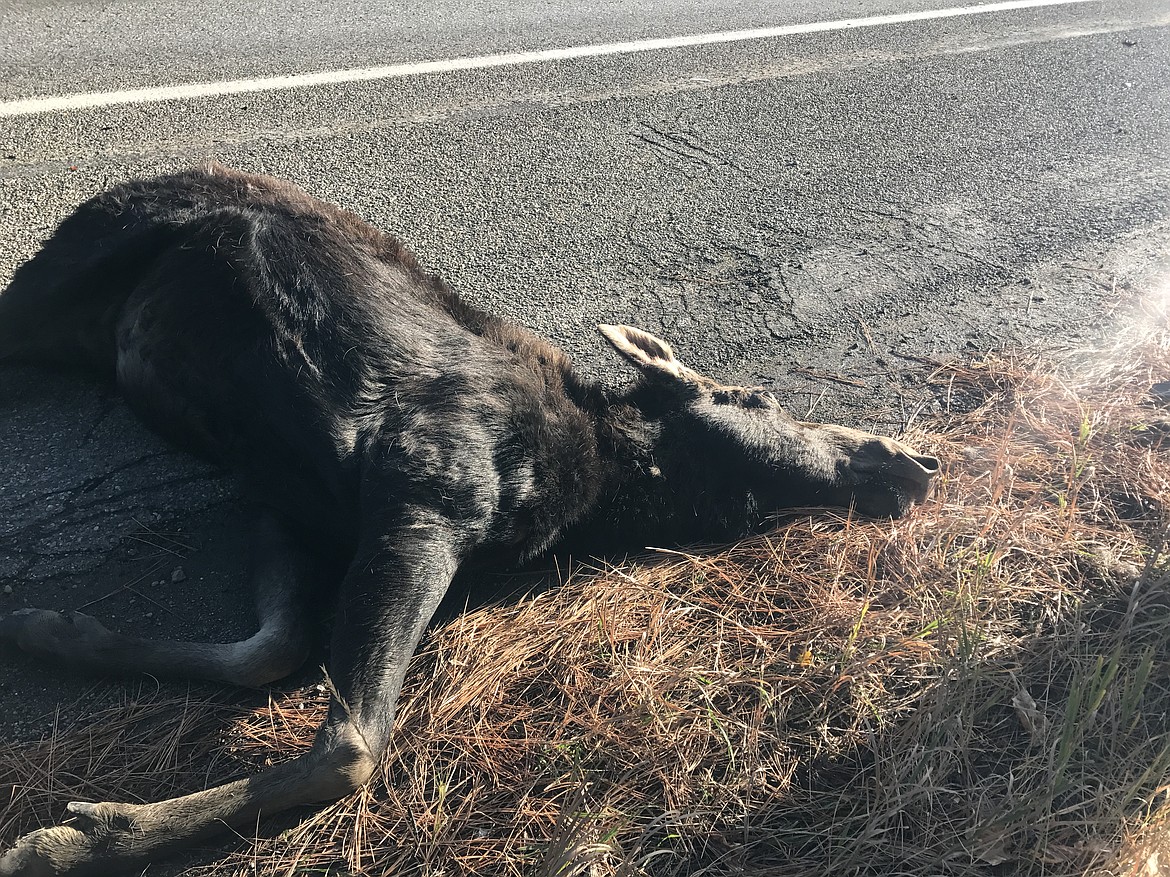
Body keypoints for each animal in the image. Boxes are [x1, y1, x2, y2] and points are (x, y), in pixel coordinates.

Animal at [0, 166, 931, 877]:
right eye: (759, 397)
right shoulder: (421, 497)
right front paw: (73, 841)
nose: (912, 465)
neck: (591, 481)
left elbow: (271, 649)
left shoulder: (289, 501)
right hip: (61, 282)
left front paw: (57, 630)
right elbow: (352, 742)